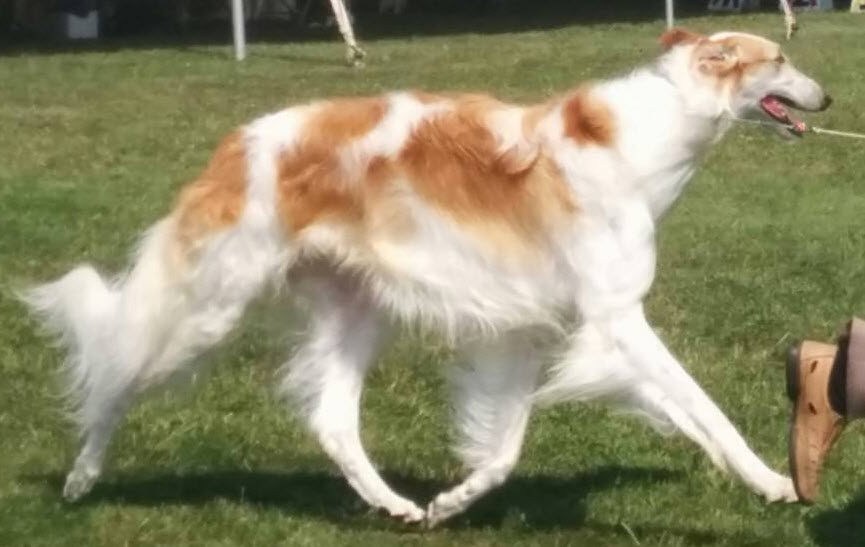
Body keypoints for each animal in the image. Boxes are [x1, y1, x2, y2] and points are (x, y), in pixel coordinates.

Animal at [22, 27, 832, 524]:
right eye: (778, 59)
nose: (827, 98)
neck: (636, 144)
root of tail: (237, 141)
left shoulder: (530, 329)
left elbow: (503, 451)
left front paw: (452, 501)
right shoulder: (616, 318)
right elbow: (704, 409)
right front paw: (775, 480)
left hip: (356, 312)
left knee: (333, 423)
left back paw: (394, 503)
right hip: (209, 310)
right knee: (116, 376)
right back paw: (81, 476)